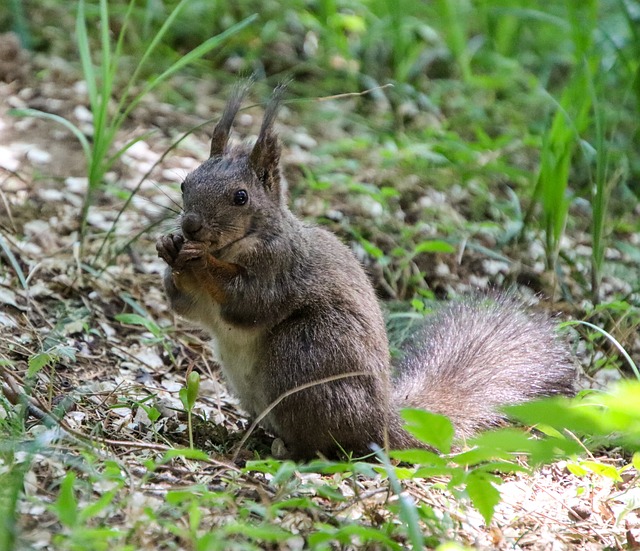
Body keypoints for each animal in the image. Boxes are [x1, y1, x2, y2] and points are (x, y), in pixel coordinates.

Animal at [158, 83, 576, 462]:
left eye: (241, 197)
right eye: (184, 183)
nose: (191, 226)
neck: (238, 242)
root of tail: (382, 423)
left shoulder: (279, 268)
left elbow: (248, 302)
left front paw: (199, 260)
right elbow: (188, 308)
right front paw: (169, 247)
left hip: (304, 352)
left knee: (320, 442)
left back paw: (284, 449)